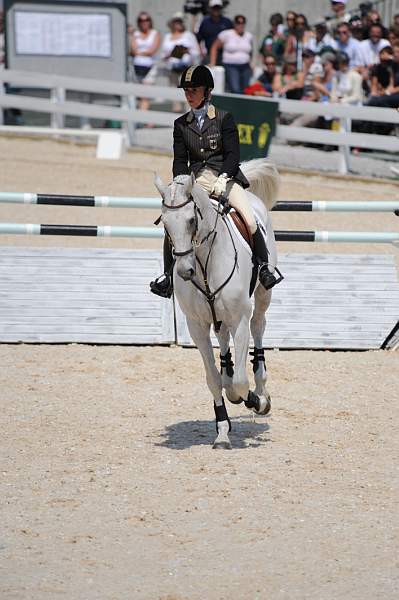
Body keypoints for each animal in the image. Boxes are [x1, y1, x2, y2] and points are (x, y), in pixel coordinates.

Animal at [155, 159, 280, 450]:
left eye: (192, 220)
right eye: (165, 224)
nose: (185, 271)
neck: (204, 263)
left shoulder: (240, 320)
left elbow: (242, 382)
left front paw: (256, 401)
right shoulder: (196, 326)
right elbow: (213, 379)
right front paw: (222, 429)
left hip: (261, 299)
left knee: (259, 328)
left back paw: (261, 391)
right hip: (217, 316)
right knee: (223, 342)